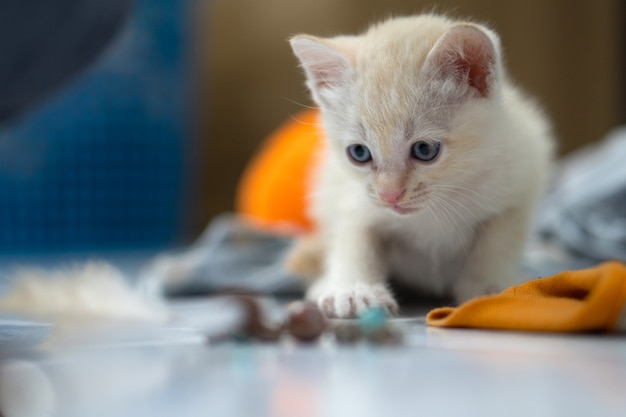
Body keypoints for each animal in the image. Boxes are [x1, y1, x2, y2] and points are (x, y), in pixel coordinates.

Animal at [286, 14, 552, 316]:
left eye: (425, 150)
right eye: (359, 153)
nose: (390, 195)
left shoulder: (518, 183)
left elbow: (498, 244)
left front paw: (490, 287)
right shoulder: (352, 199)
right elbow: (355, 241)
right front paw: (355, 290)